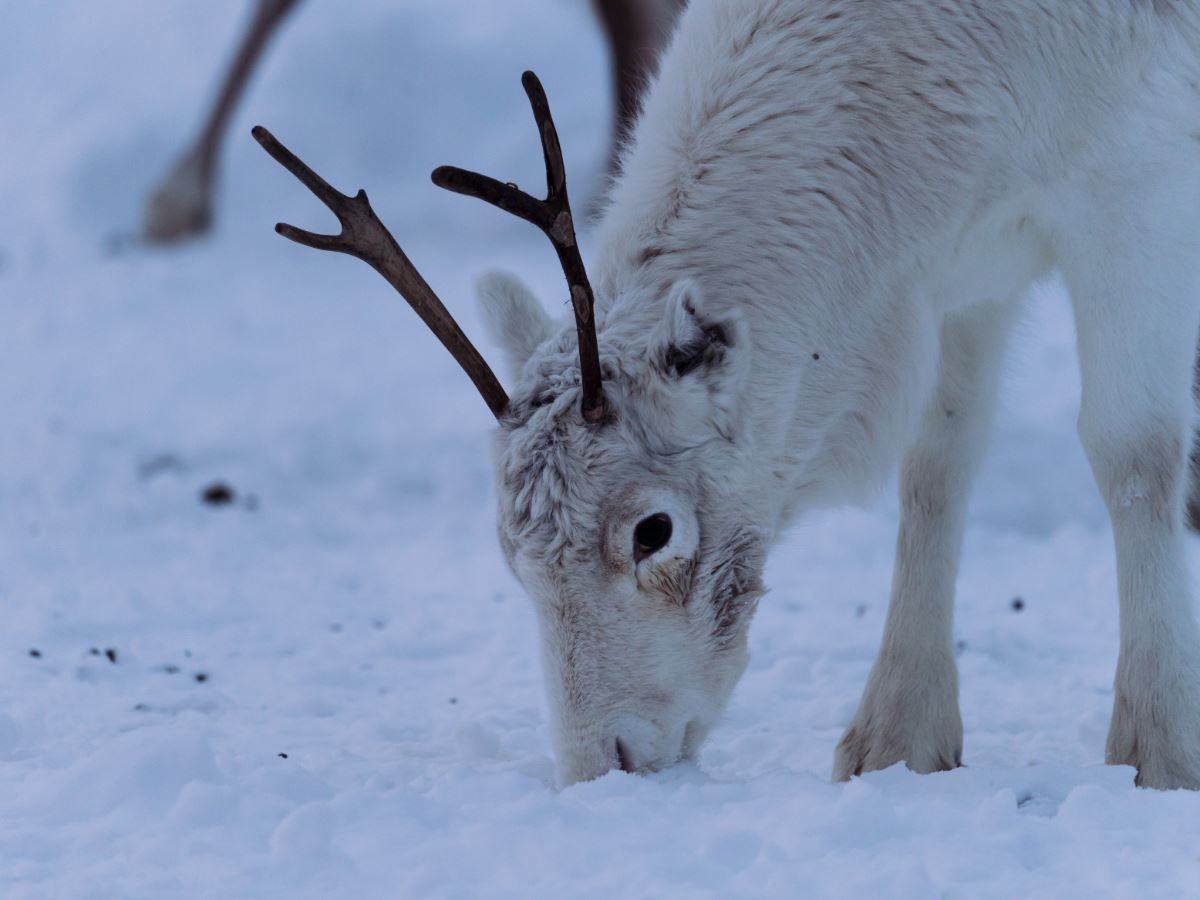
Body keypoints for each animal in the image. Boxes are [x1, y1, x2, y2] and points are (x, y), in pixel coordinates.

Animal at [253, 0, 1200, 790]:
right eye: (508, 550)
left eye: (653, 531)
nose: (606, 762)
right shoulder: (963, 267)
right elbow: (937, 468)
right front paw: (897, 743)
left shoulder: (1135, 191)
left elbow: (1133, 454)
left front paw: (1158, 754)